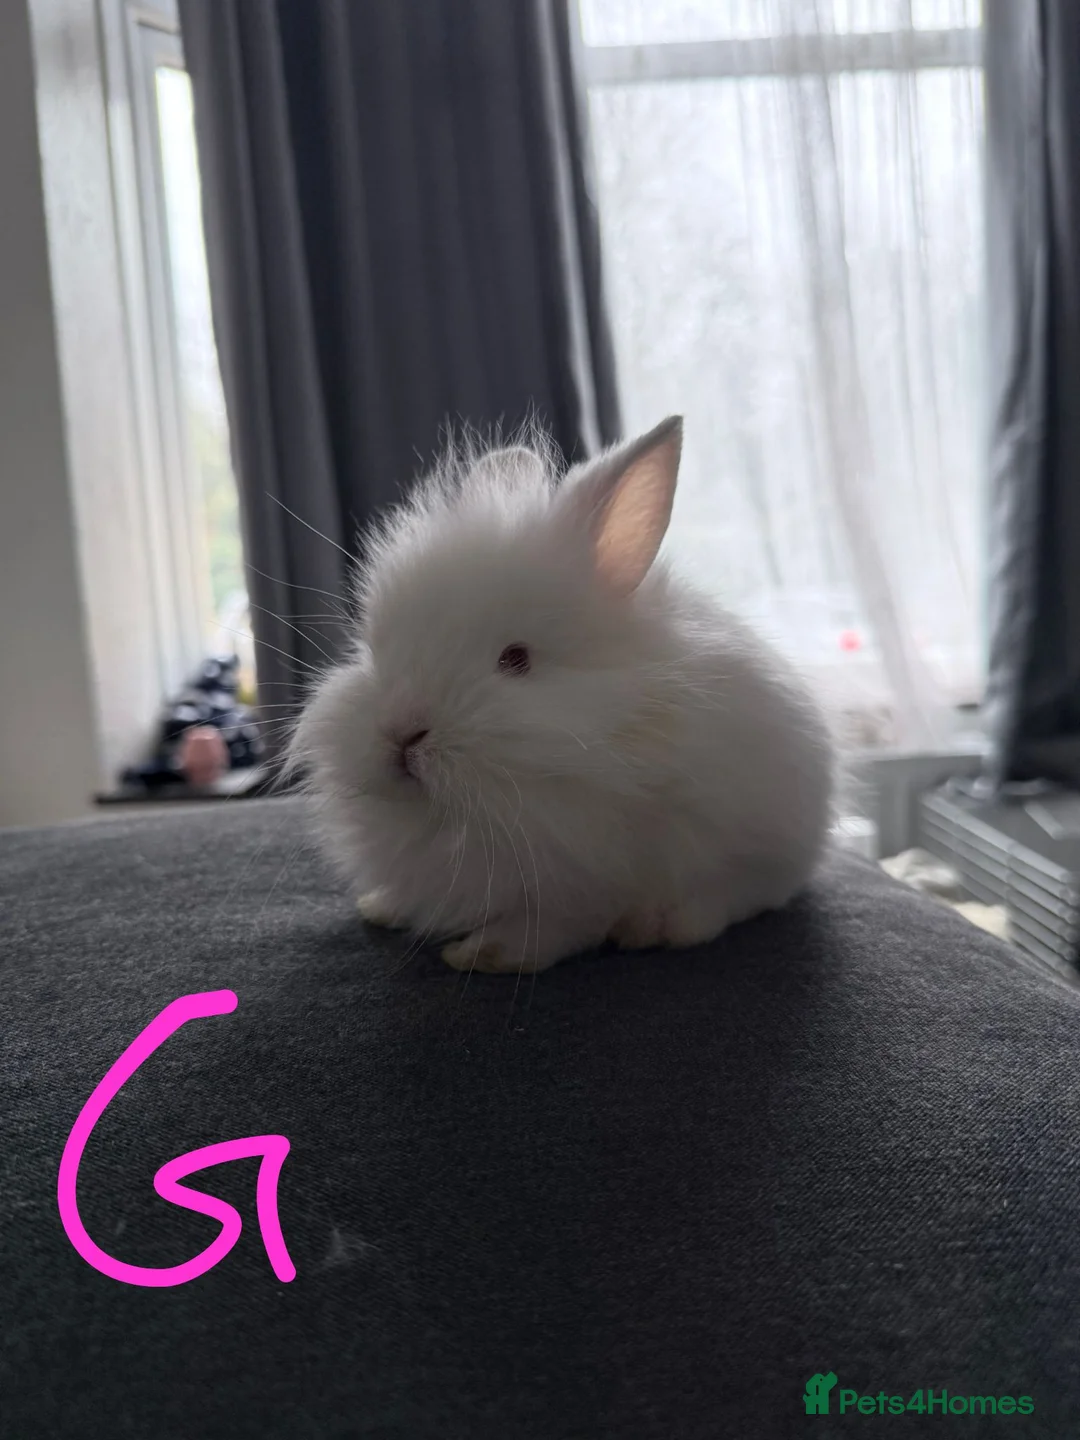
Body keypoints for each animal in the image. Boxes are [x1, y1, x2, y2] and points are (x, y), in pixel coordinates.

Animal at [290, 415, 835, 974]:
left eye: (516, 659)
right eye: (375, 648)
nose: (401, 732)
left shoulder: (589, 874)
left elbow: (559, 925)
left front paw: (483, 954)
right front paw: (382, 906)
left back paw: (663, 926)